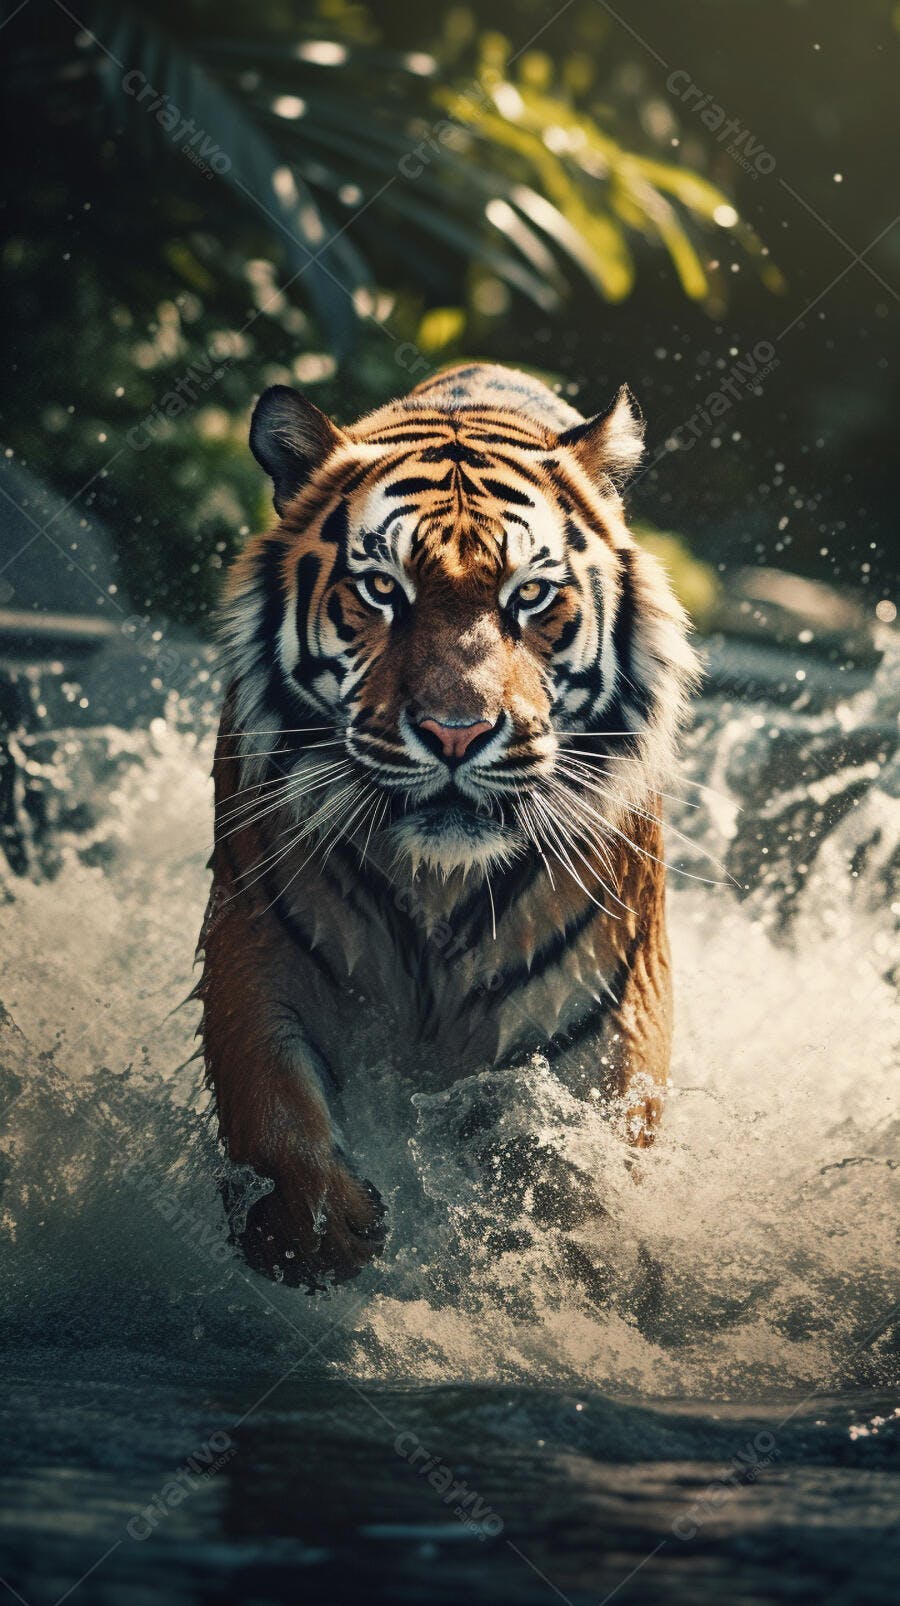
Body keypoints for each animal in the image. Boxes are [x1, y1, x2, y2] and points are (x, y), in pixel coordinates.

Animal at [198, 362, 699, 1288]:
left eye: (529, 595)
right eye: (381, 590)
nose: (457, 732)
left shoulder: (611, 1005)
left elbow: (577, 1184)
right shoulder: (254, 945)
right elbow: (274, 1117)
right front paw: (324, 1239)